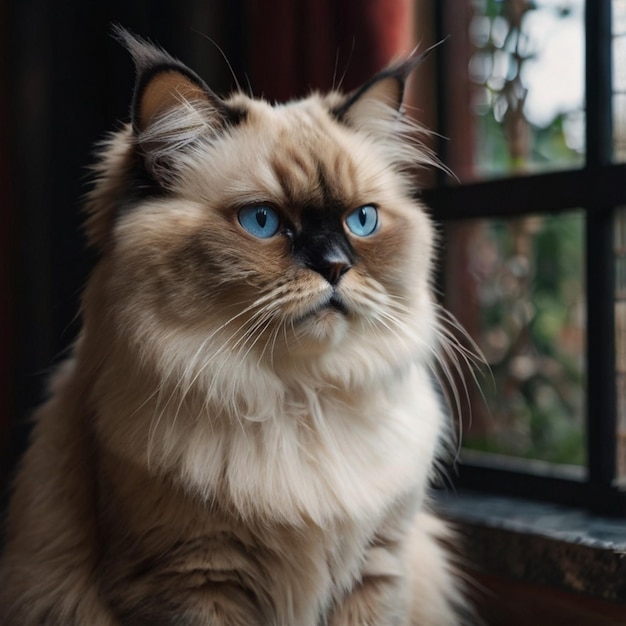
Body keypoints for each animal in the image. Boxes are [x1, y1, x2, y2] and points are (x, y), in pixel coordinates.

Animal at [0, 28, 468, 624]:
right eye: (262, 222)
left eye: (361, 221)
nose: (335, 266)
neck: (299, 401)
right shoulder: (192, 580)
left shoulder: (378, 567)